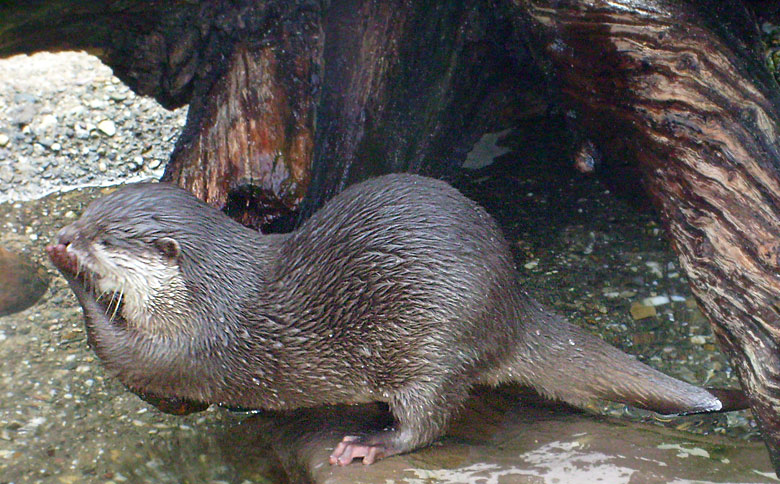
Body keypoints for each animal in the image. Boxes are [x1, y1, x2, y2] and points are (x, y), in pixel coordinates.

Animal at [47, 174, 744, 466]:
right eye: (86, 214)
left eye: (103, 237)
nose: (68, 235)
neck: (208, 291)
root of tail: (512, 303)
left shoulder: (192, 343)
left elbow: (130, 360)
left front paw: (68, 270)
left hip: (433, 347)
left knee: (430, 421)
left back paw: (369, 443)